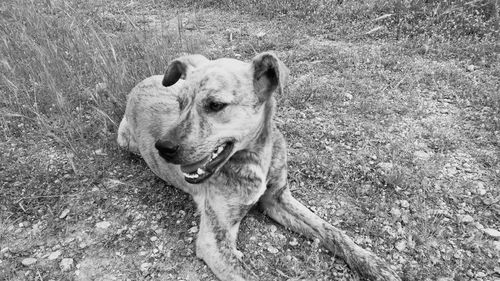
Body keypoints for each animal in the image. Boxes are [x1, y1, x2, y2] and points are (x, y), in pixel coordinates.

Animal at [115, 51, 400, 278]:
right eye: (180, 104)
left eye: (215, 105)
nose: (163, 148)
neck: (255, 159)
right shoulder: (214, 240)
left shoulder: (278, 198)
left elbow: (331, 231)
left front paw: (372, 263)